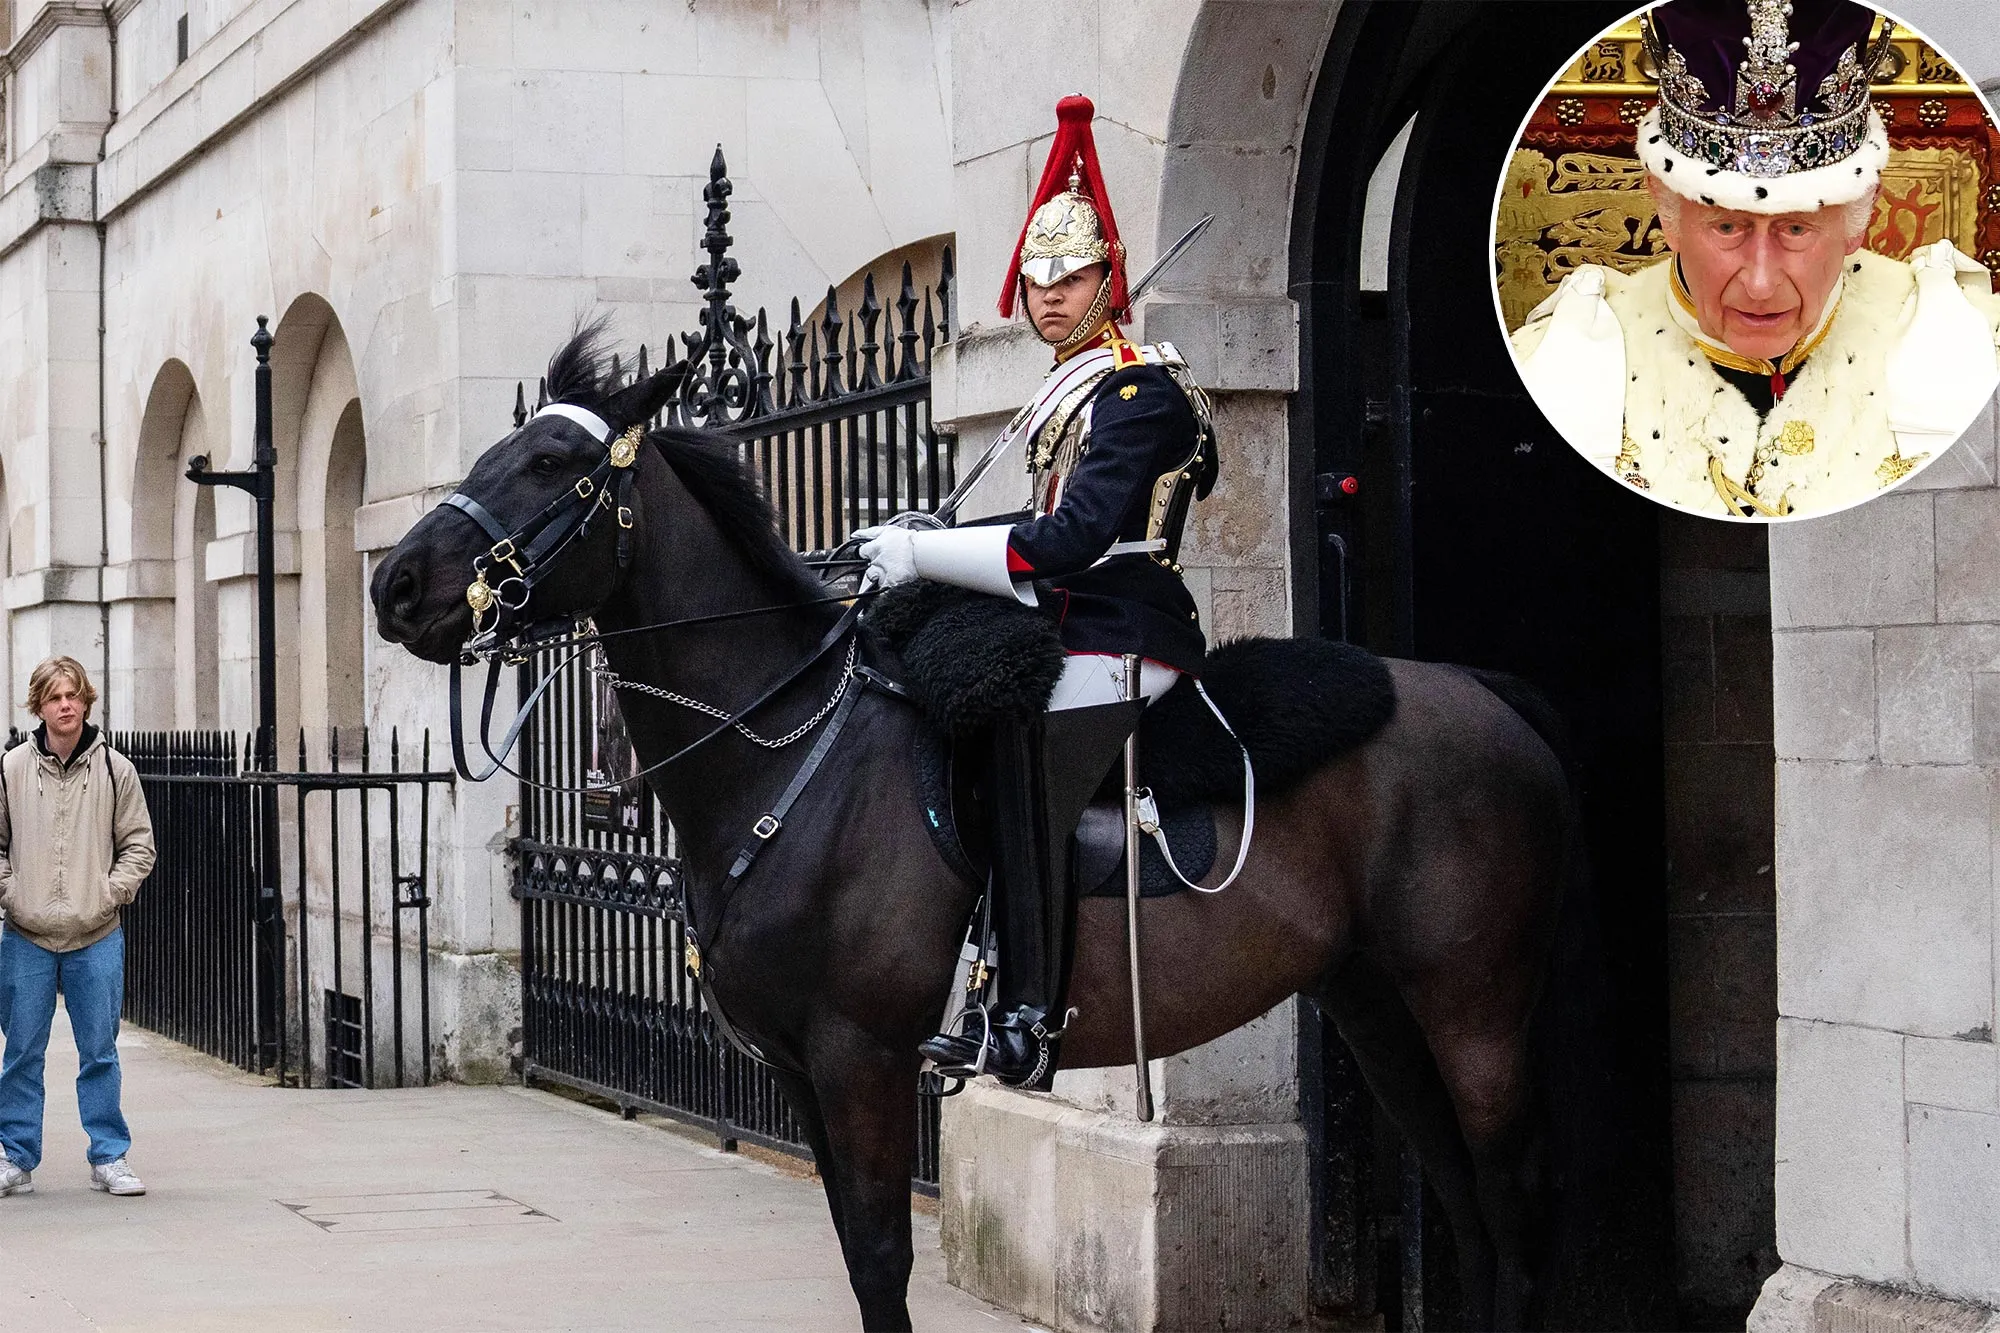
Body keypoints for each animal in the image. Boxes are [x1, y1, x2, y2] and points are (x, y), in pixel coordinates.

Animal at [371, 329, 1577, 1332]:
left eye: (549, 466)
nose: (396, 585)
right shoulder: (804, 1070)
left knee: (1514, 1215)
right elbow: (858, 1253)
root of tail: (1482, 689)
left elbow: (879, 1261)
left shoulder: (861, 1055)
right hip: (1374, 1002)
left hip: (1472, 1005)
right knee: (1469, 1214)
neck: (782, 749)